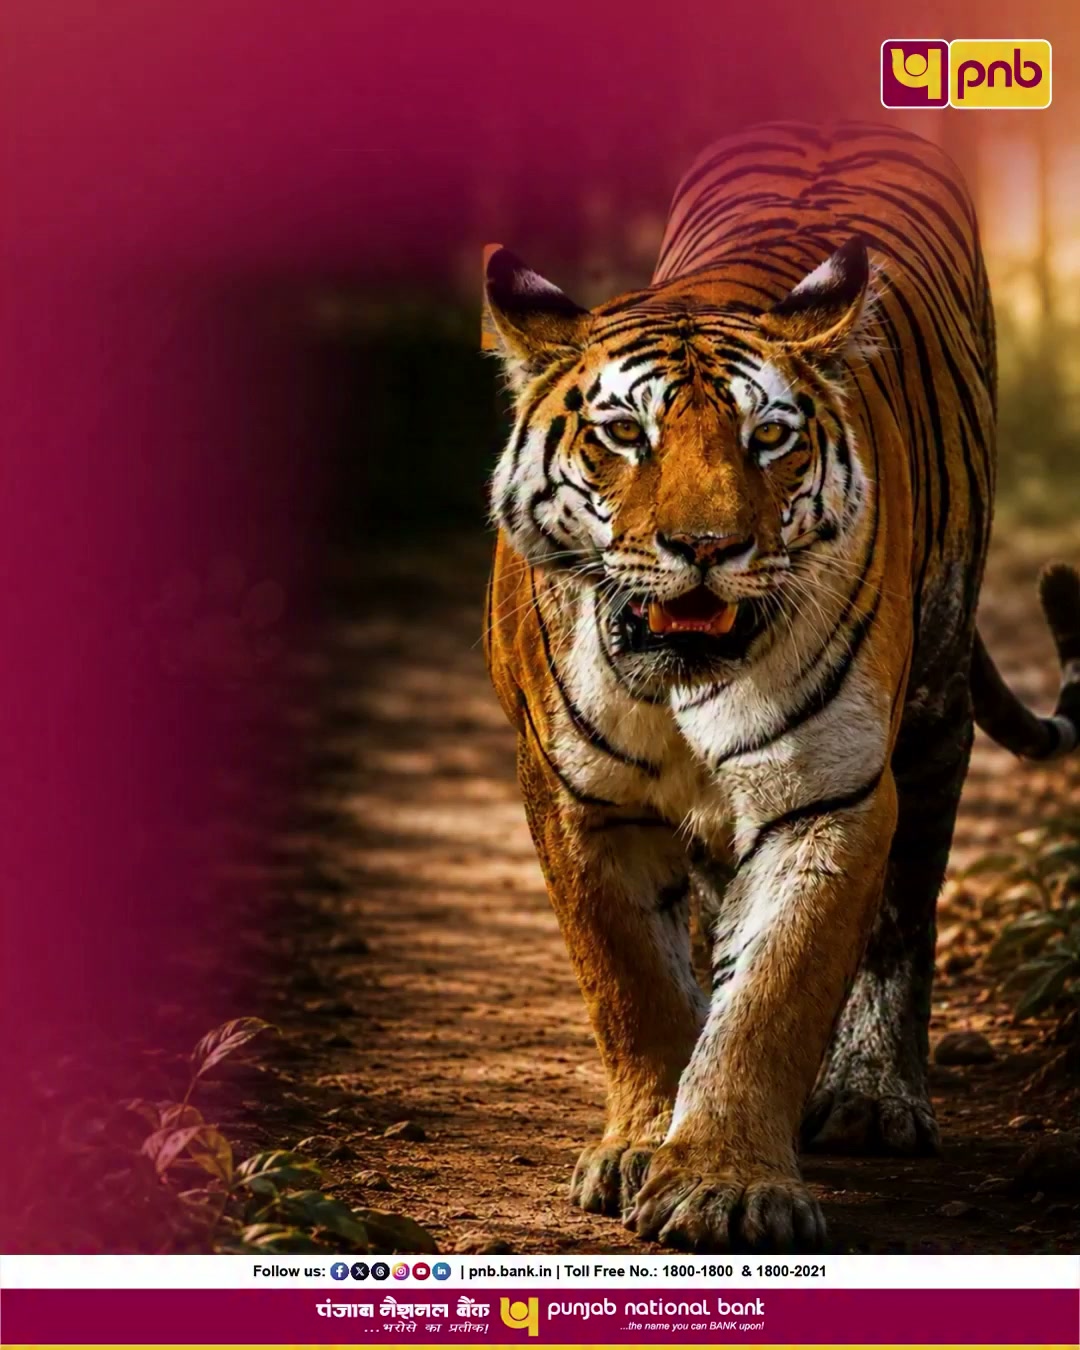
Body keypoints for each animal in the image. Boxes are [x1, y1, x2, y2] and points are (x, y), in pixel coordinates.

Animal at [481, 120, 1080, 1252]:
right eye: (625, 434)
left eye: (770, 438)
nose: (707, 547)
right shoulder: (578, 799)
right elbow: (633, 981)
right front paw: (642, 1146)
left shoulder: (828, 796)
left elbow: (771, 994)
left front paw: (724, 1185)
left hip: (935, 708)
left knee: (903, 919)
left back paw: (875, 1096)